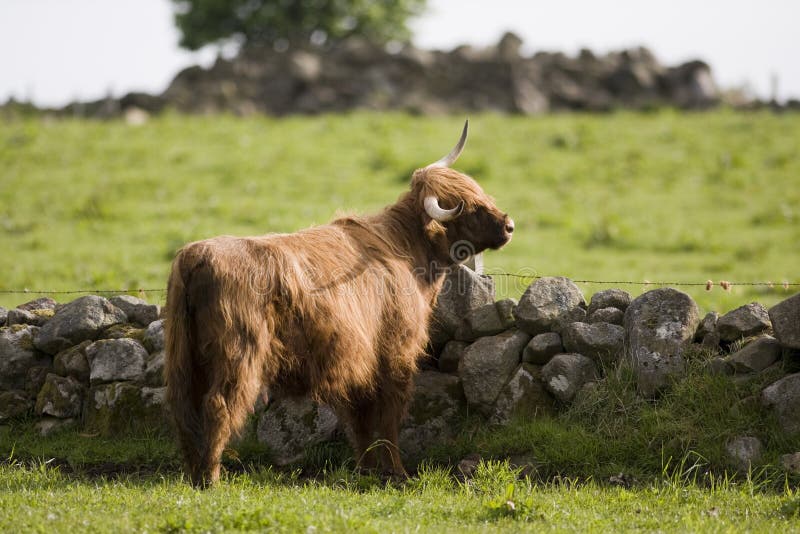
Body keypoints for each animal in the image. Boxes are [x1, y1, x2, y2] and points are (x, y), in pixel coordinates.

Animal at [163, 122, 512, 490]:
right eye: (469, 207)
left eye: (479, 191)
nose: (509, 225)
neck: (406, 250)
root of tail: (196, 255)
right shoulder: (397, 354)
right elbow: (388, 420)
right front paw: (398, 473)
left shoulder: (358, 365)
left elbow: (359, 422)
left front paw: (367, 469)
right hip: (239, 354)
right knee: (218, 406)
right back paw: (210, 478)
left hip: (183, 358)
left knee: (182, 407)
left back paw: (193, 472)